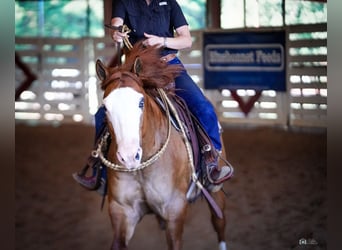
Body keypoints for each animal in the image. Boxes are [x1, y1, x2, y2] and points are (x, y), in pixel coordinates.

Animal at [94, 43, 227, 250]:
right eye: (106, 107)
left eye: (141, 102)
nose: (129, 157)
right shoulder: (121, 211)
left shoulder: (175, 210)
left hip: (217, 189)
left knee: (219, 221)